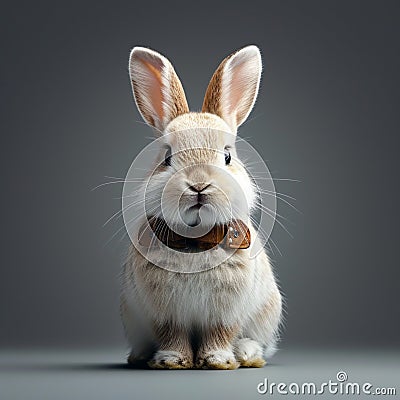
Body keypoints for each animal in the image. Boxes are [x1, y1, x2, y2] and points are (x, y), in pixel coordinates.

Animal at [120, 44, 282, 368]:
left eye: (228, 156)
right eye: (167, 157)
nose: (198, 185)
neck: (196, 241)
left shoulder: (226, 310)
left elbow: (220, 333)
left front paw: (218, 360)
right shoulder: (164, 312)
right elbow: (172, 335)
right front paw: (171, 360)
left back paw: (247, 354)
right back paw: (140, 355)